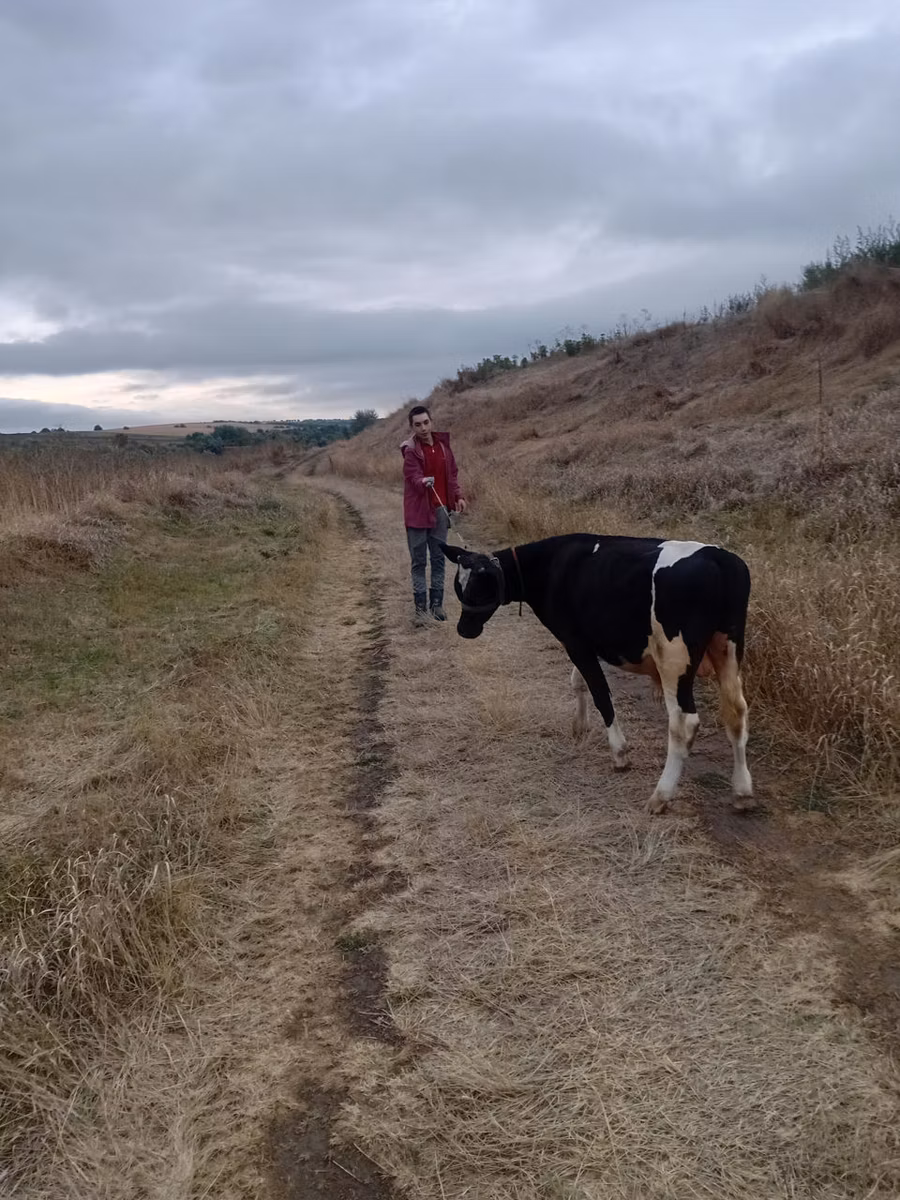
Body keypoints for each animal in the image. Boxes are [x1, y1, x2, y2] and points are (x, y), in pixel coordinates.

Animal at [441, 534, 754, 814]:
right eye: (458, 587)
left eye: (479, 589)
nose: (463, 630)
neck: (550, 566)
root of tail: (719, 558)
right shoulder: (583, 641)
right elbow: (578, 681)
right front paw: (579, 725)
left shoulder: (575, 641)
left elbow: (600, 693)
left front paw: (619, 753)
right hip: (728, 648)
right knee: (736, 712)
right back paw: (742, 792)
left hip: (674, 660)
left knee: (683, 723)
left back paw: (661, 795)